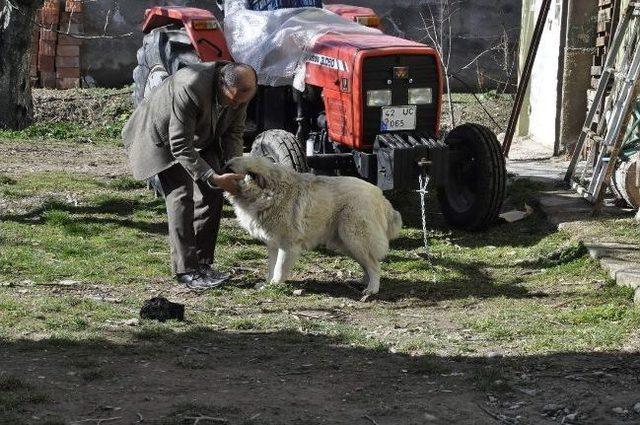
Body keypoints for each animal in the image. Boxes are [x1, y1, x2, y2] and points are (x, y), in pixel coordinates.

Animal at [224, 154, 400, 296]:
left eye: (229, 169)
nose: (221, 170)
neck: (268, 191)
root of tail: (380, 196)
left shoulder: (287, 245)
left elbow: (279, 268)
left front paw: (274, 285)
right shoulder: (273, 244)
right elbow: (271, 267)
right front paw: (267, 283)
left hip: (354, 238)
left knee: (374, 265)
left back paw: (372, 289)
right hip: (347, 243)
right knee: (367, 264)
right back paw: (363, 281)